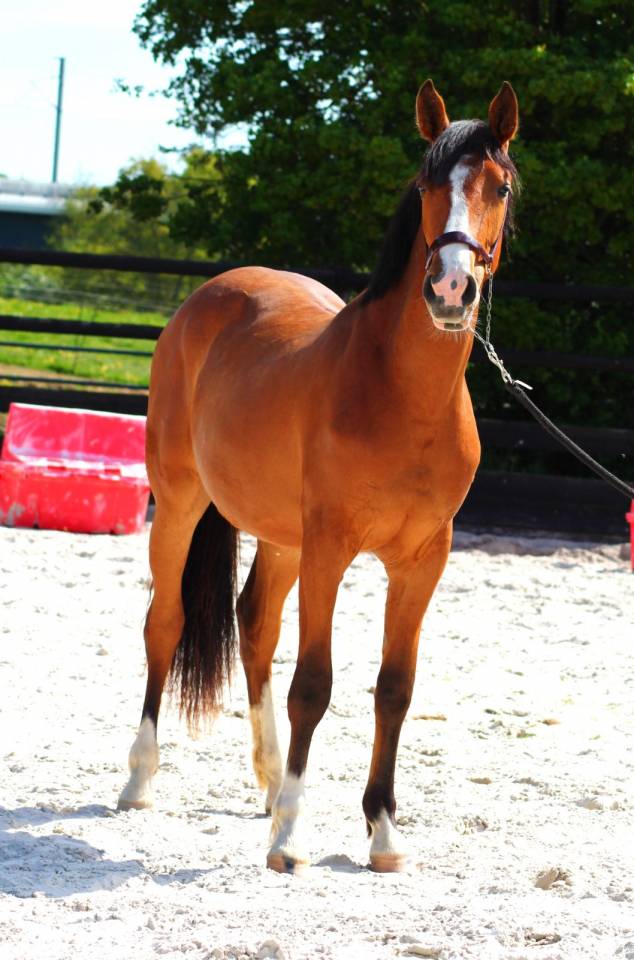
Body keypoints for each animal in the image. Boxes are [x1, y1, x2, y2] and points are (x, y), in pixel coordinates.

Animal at [117, 80, 520, 874]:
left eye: (501, 186)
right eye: (427, 185)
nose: (451, 289)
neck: (401, 397)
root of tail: (208, 297)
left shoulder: (423, 560)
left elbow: (394, 689)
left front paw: (383, 832)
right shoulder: (331, 549)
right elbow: (314, 683)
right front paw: (291, 839)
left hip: (282, 538)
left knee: (253, 626)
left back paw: (273, 782)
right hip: (181, 503)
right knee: (165, 623)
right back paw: (142, 780)